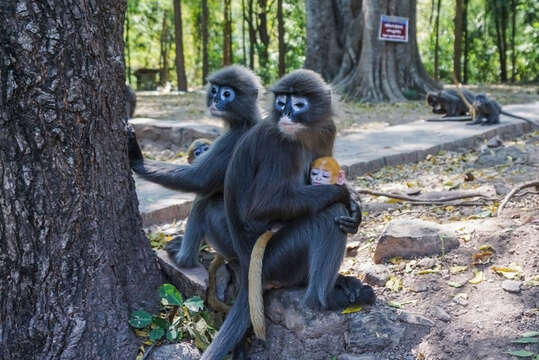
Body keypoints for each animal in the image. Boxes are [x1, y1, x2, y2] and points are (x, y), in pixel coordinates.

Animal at [199, 69, 376, 360]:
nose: (286, 114)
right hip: (278, 258)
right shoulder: (279, 143)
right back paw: (323, 299)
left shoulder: (327, 129)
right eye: (282, 102)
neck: (303, 133)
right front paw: (343, 195)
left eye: (299, 103)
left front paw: (355, 202)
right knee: (327, 216)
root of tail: (247, 266)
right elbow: (261, 206)